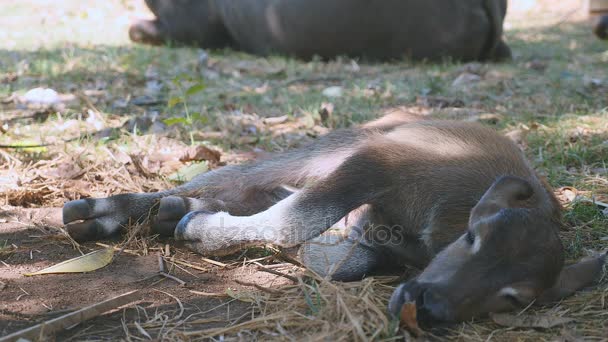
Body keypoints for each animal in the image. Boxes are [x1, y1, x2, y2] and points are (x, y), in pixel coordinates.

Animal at [61, 113, 604, 324]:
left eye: (514, 297)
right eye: (473, 237)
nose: (426, 304)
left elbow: (342, 258)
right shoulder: (374, 164)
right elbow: (296, 220)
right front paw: (203, 232)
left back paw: (173, 213)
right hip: (330, 147)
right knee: (225, 180)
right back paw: (104, 213)